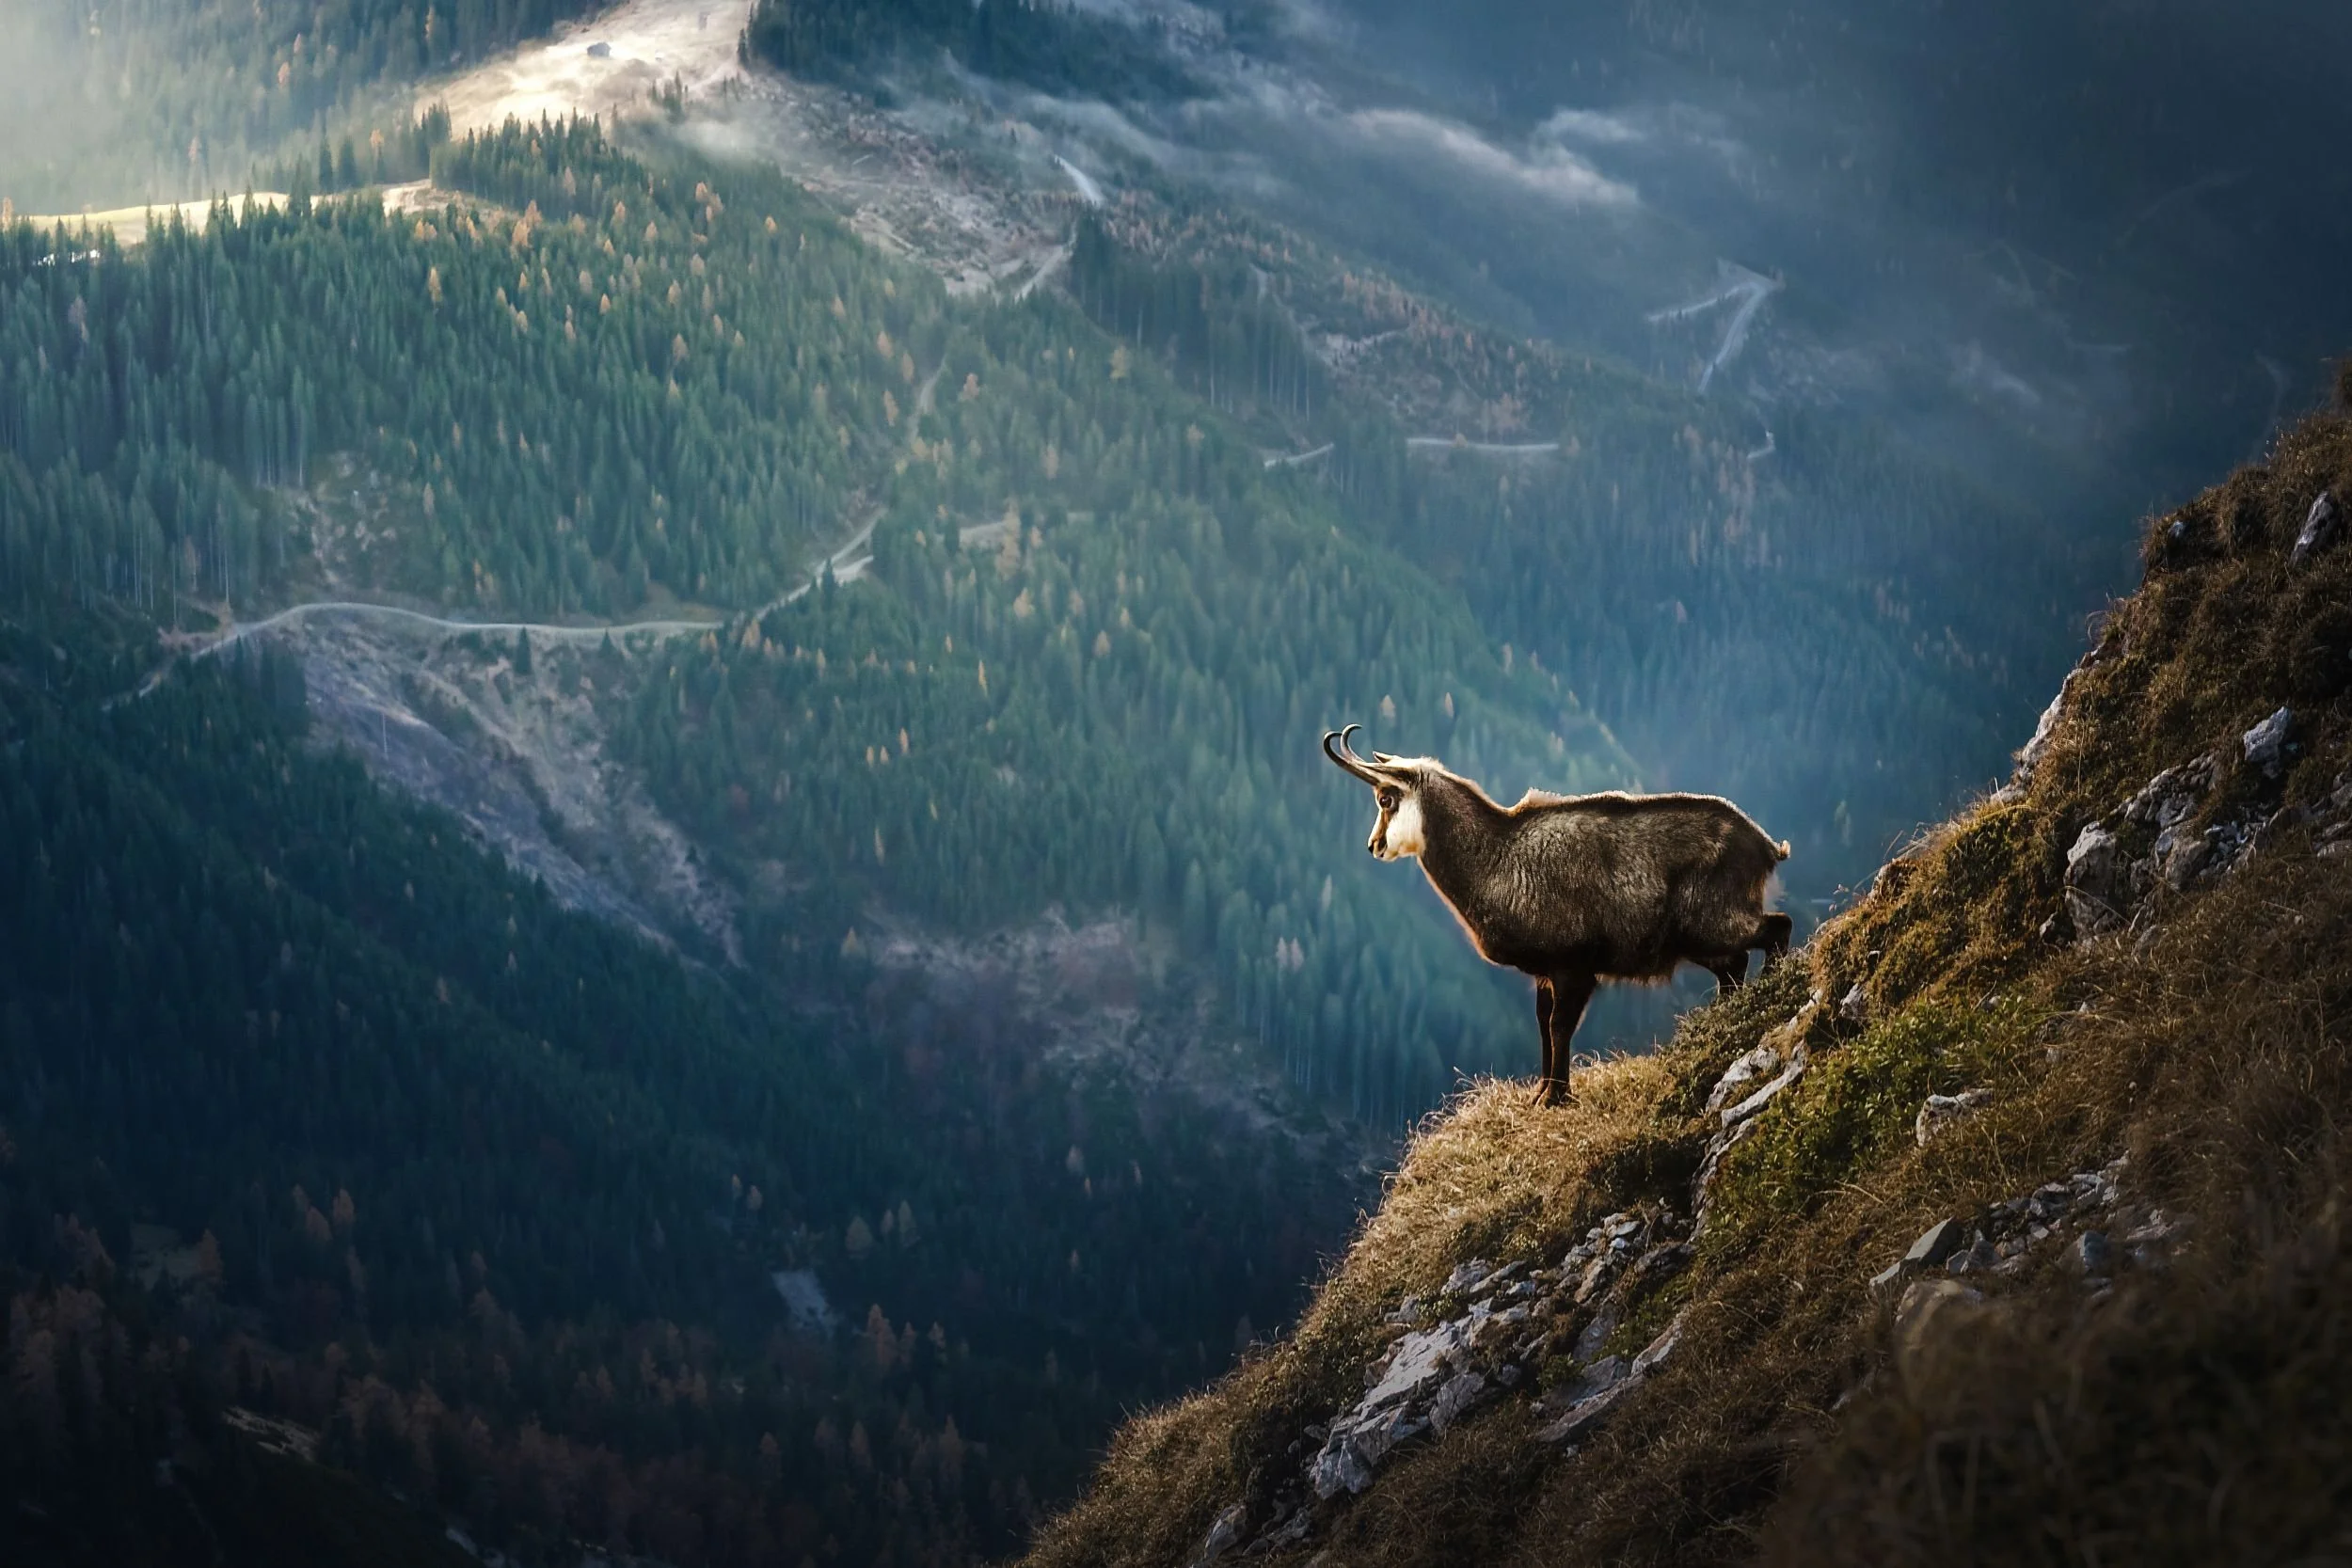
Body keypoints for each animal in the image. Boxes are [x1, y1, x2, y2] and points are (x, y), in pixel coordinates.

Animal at [1323, 725, 1791, 1105]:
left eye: (1386, 798)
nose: (1374, 846)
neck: (1498, 858)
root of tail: (1765, 845)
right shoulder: (1545, 973)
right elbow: (1543, 1026)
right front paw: (1542, 1093)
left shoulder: (1574, 966)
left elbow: (1559, 1026)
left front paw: (1555, 1098)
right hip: (1703, 940)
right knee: (1734, 967)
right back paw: (1727, 1018)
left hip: (1713, 921)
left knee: (1775, 930)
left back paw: (1772, 989)